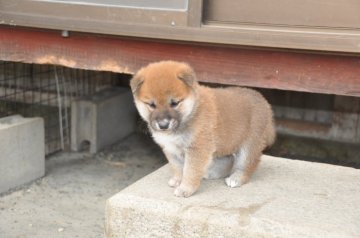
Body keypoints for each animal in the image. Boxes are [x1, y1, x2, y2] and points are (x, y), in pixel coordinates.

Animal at [131, 61, 274, 197]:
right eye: (151, 105)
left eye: (174, 103)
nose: (163, 125)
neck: (191, 112)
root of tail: (264, 102)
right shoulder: (171, 148)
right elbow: (177, 167)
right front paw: (178, 180)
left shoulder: (198, 148)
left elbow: (190, 171)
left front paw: (185, 189)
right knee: (229, 160)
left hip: (249, 144)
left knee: (247, 164)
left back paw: (237, 178)